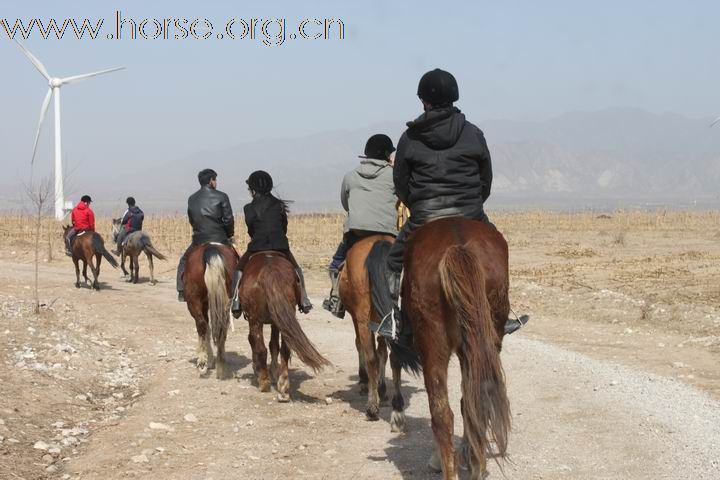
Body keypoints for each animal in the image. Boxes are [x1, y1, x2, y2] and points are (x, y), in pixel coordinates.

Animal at [183, 244, 239, 378]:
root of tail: (210, 248)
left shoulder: (202, 305)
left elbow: (206, 329)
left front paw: (208, 361)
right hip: (224, 302)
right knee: (222, 327)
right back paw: (220, 362)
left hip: (194, 301)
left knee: (202, 325)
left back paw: (202, 363)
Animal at [242, 251, 332, 402]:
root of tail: (270, 270)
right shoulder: (276, 320)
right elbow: (274, 345)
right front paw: (274, 372)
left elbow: (259, 343)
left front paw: (261, 370)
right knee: (285, 349)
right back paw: (283, 387)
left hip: (255, 319)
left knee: (260, 347)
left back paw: (264, 382)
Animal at [338, 234, 404, 430]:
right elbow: (382, 352)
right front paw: (382, 390)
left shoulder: (357, 318)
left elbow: (360, 345)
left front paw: (363, 380)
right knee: (394, 357)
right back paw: (397, 411)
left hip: (362, 318)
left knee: (371, 357)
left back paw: (372, 408)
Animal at [376, 218, 512, 480]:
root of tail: (458, 246)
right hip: (484, 340)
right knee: (475, 401)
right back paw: (477, 466)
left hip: (433, 346)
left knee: (441, 414)